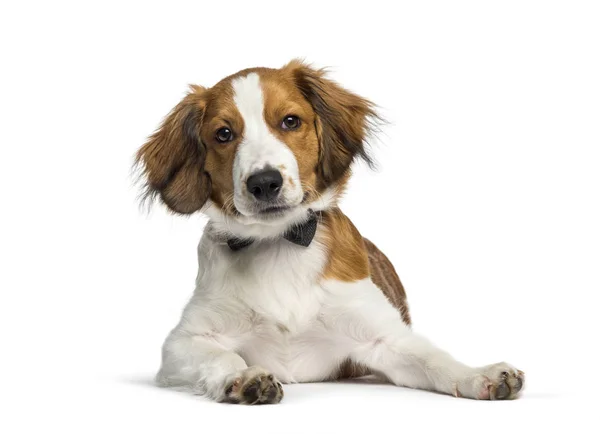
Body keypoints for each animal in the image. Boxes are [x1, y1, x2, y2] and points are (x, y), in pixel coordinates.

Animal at [137, 60, 524, 404]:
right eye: (223, 134)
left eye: (290, 121)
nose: (264, 183)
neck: (279, 244)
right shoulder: (183, 341)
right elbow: (222, 356)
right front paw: (244, 377)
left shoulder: (384, 338)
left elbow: (435, 359)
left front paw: (480, 375)